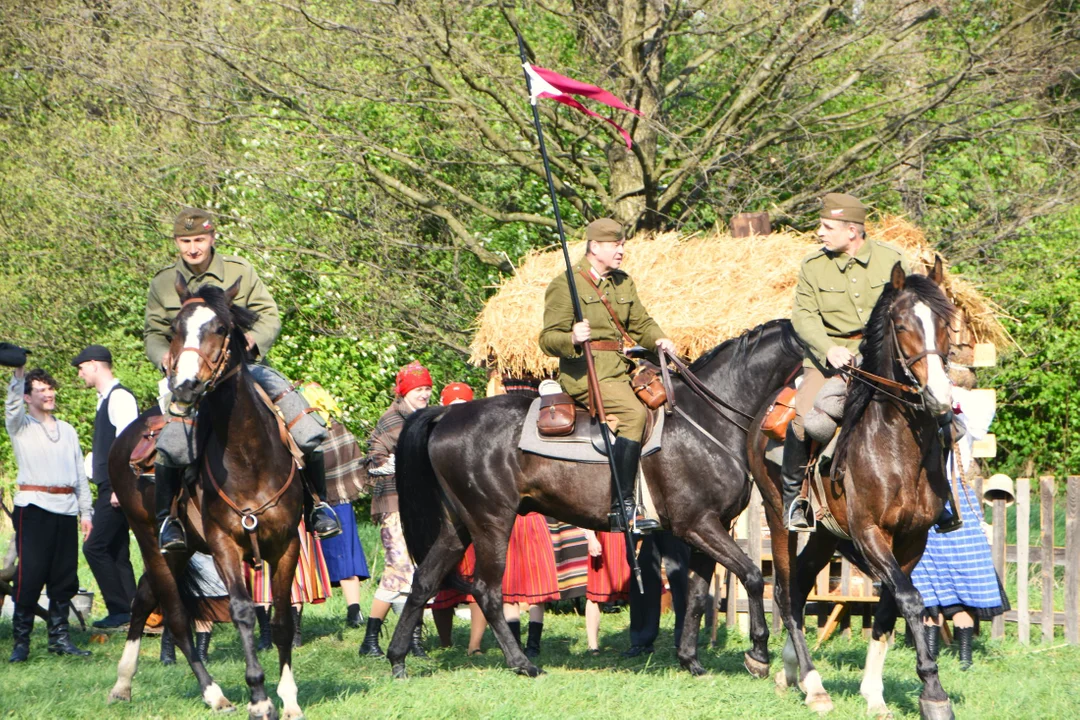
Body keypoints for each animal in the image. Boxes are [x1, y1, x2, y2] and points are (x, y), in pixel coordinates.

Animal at [105, 278, 306, 720]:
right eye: (175, 328)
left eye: (220, 328)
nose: (184, 387)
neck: (248, 455)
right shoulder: (224, 544)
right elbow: (244, 611)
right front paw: (259, 697)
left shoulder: (286, 544)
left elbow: (283, 619)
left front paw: (289, 698)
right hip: (153, 543)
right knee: (176, 617)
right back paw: (212, 692)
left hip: (178, 553)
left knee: (143, 598)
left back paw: (123, 682)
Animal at [386, 321, 803, 682]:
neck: (706, 421)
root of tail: (446, 414)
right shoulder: (698, 525)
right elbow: (752, 576)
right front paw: (758, 655)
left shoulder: (706, 530)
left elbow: (700, 596)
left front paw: (691, 660)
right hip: (491, 523)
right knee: (486, 591)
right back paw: (523, 663)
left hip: (458, 526)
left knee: (424, 580)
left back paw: (397, 660)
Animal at [747, 259, 959, 720]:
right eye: (902, 325)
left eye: (947, 322)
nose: (939, 396)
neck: (898, 447)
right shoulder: (869, 534)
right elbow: (910, 599)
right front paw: (934, 692)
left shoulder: (912, 541)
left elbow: (890, 607)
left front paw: (875, 693)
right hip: (779, 521)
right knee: (787, 594)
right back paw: (812, 685)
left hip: (825, 534)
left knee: (802, 584)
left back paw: (790, 672)